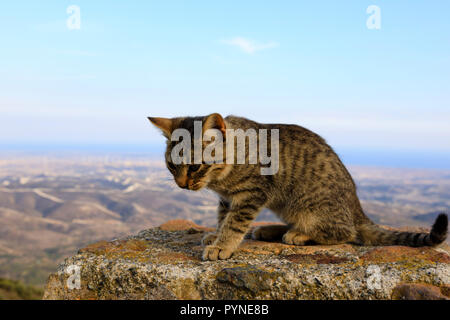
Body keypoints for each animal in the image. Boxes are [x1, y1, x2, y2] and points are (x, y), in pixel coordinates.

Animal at [148, 112, 446, 260]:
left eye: (194, 167)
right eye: (171, 166)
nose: (182, 185)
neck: (222, 176)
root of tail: (357, 208)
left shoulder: (251, 194)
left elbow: (234, 223)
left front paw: (224, 245)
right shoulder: (228, 198)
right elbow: (223, 218)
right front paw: (217, 235)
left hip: (308, 206)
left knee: (346, 233)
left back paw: (299, 235)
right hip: (286, 206)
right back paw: (272, 230)